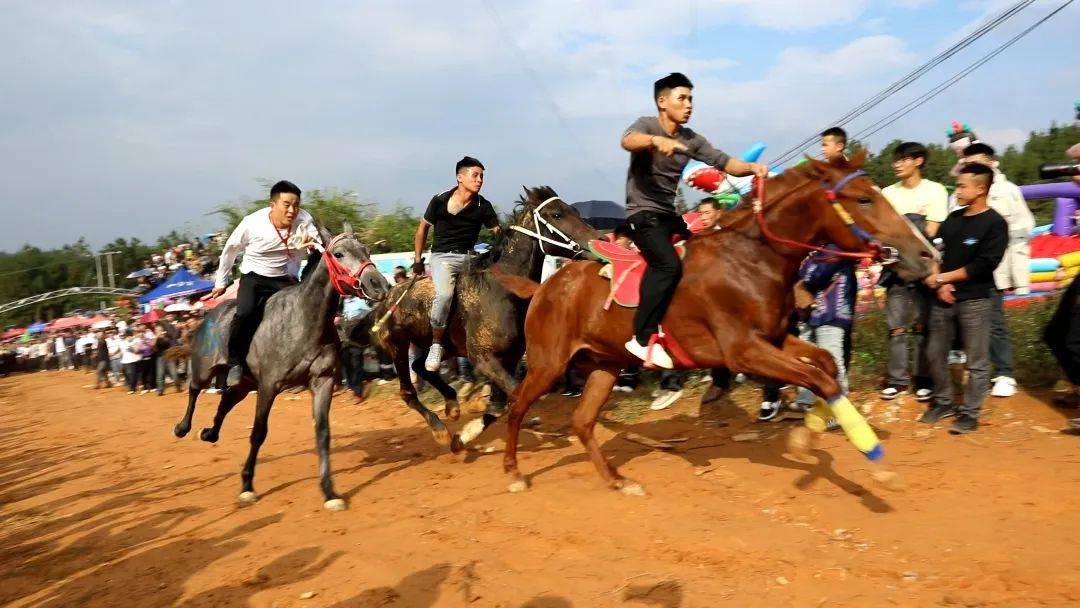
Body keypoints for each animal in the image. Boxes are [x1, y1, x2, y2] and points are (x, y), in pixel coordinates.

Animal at [174, 225, 395, 511]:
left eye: (367, 250)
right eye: (339, 253)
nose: (378, 284)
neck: (304, 320)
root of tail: (208, 314)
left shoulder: (322, 381)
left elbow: (323, 433)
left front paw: (330, 492)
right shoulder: (269, 385)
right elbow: (258, 433)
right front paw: (247, 486)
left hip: (245, 383)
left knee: (226, 401)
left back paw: (210, 433)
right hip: (206, 370)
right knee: (193, 389)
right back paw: (183, 427)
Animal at [354, 186, 604, 451]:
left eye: (575, 211)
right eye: (556, 214)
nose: (600, 242)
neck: (502, 291)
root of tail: (384, 301)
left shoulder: (509, 359)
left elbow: (500, 404)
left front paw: (462, 437)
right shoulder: (483, 358)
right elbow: (514, 397)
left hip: (442, 346)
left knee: (421, 366)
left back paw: (452, 405)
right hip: (398, 347)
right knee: (408, 390)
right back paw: (440, 429)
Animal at [494, 151, 937, 494]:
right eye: (864, 199)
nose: (925, 254)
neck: (750, 258)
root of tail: (544, 287)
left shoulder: (774, 338)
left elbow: (827, 367)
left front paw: (808, 432)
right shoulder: (742, 352)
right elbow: (821, 379)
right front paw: (870, 455)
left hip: (606, 363)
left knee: (583, 422)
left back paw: (617, 479)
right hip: (549, 363)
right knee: (517, 407)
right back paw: (513, 472)